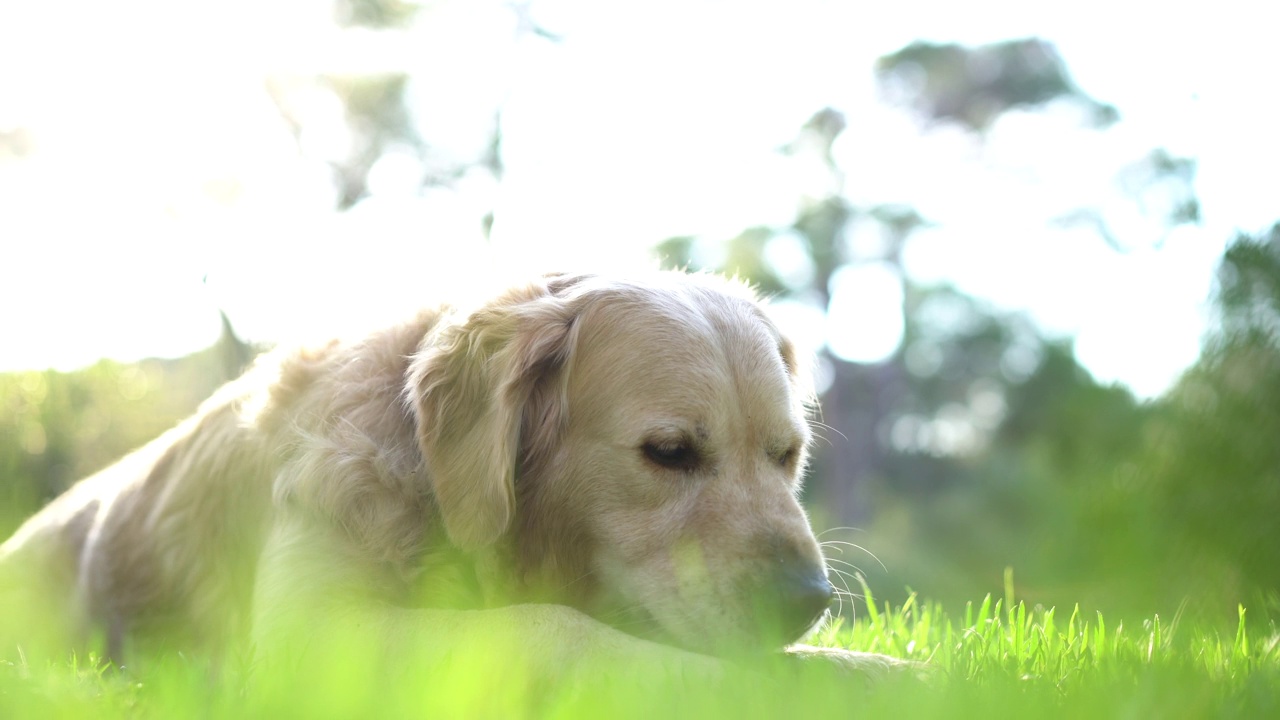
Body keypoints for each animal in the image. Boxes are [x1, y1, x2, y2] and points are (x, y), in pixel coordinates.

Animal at [0, 270, 906, 681]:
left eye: (786, 455)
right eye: (671, 451)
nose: (807, 601)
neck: (434, 487)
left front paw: (875, 671)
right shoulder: (308, 636)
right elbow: (553, 626)